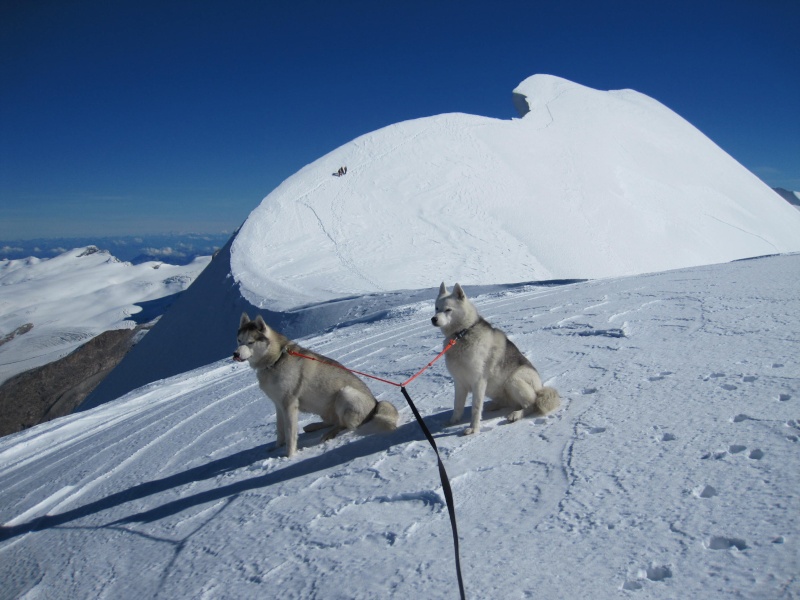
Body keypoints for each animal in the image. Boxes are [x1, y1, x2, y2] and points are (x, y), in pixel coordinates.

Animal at [233, 312, 398, 458]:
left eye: (250, 342)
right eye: (239, 340)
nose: (235, 354)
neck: (275, 360)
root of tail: (376, 403)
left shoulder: (289, 405)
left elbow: (290, 433)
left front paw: (289, 456)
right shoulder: (278, 405)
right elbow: (280, 431)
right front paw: (276, 448)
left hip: (345, 393)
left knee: (346, 425)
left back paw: (329, 434)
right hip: (324, 407)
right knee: (332, 421)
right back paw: (313, 426)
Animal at [432, 284, 564, 434]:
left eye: (448, 309)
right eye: (436, 308)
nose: (433, 319)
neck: (461, 334)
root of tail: (540, 387)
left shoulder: (478, 381)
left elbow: (476, 408)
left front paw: (473, 428)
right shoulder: (459, 382)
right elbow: (457, 406)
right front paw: (452, 422)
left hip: (513, 380)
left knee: (531, 404)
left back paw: (516, 414)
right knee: (508, 402)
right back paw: (493, 405)